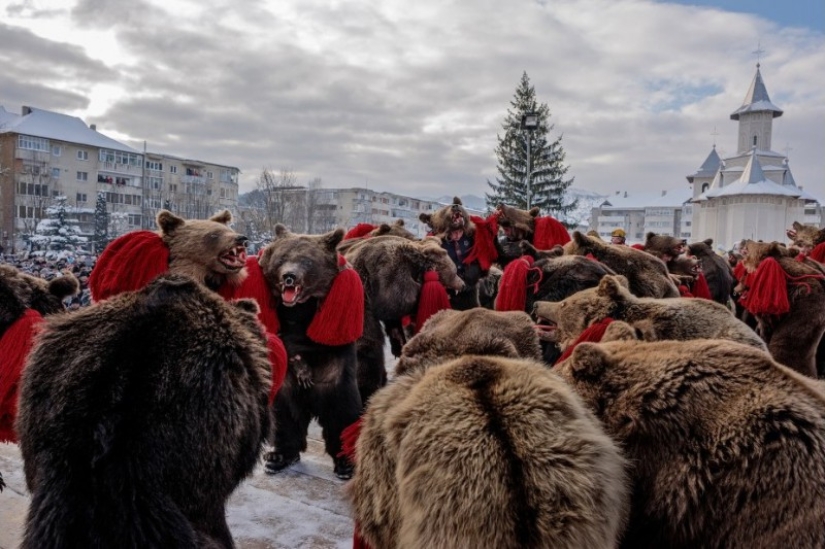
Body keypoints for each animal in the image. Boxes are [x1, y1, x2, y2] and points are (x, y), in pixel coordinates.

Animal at [257, 224, 364, 479]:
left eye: (307, 261)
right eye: (282, 258)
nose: (289, 276)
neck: (300, 305)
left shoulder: (338, 310)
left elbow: (328, 334)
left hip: (334, 376)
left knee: (342, 412)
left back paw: (345, 462)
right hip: (286, 384)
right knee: (284, 415)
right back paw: (278, 456)